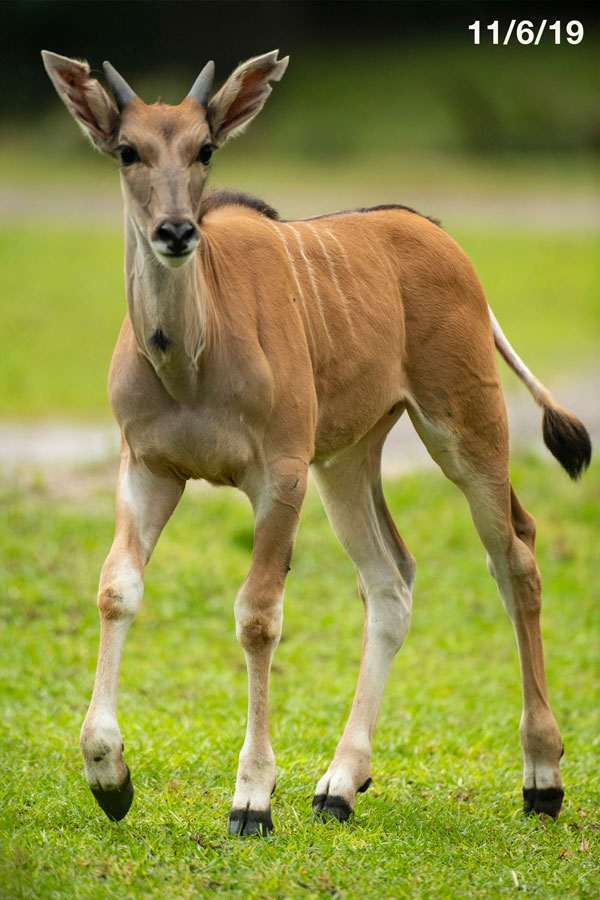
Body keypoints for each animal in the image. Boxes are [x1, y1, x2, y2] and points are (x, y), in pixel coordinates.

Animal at [42, 51, 592, 836]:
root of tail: (442, 238)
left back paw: (541, 778)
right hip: (346, 461)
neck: (190, 361)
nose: (176, 231)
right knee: (392, 579)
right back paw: (340, 781)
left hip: (464, 426)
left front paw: (251, 797)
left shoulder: (279, 475)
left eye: (204, 149)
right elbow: (118, 589)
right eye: (127, 151)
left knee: (514, 553)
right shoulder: (148, 466)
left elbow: (257, 615)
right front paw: (109, 774)